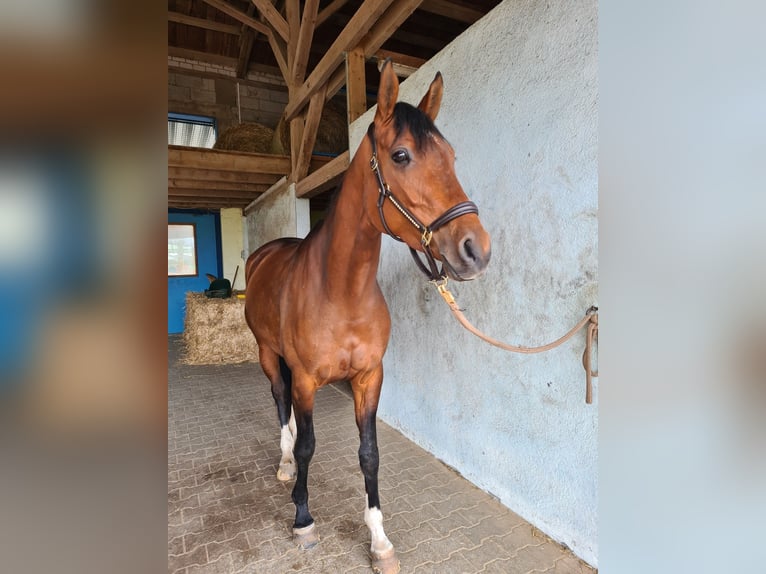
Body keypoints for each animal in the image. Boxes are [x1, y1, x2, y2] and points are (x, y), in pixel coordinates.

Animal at [246, 60, 492, 572]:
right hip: (267, 354)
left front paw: (379, 539)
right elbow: (308, 445)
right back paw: (284, 465)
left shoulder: (369, 377)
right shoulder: (305, 379)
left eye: (451, 155)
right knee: (279, 403)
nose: (476, 249)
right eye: (401, 155)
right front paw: (303, 518)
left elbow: (370, 453)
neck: (340, 293)